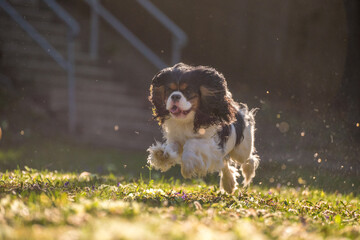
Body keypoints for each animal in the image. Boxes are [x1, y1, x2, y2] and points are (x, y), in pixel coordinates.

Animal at [146, 62, 258, 193]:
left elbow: (191, 142)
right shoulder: (176, 139)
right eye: (169, 90)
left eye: (188, 91)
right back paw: (228, 184)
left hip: (241, 150)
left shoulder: (212, 145)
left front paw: (186, 168)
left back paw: (248, 172)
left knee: (248, 158)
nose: (175, 96)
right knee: (223, 163)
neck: (187, 120)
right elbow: (172, 147)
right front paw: (161, 156)